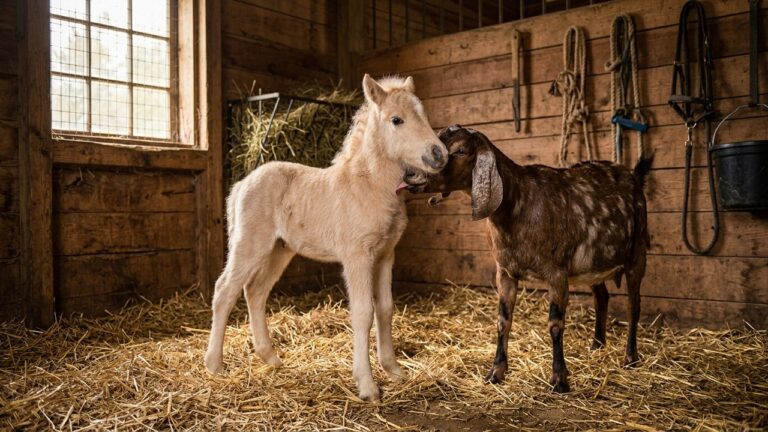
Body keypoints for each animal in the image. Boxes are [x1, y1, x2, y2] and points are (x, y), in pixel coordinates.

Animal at [204, 75, 448, 401]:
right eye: (397, 120)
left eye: (423, 114)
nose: (438, 154)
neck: (368, 185)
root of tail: (241, 184)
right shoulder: (358, 256)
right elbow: (363, 312)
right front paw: (367, 385)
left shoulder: (386, 254)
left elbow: (385, 308)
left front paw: (394, 370)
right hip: (250, 245)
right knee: (225, 290)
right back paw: (214, 365)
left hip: (279, 250)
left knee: (255, 291)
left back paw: (270, 358)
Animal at [404, 125, 652, 393]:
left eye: (460, 150)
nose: (410, 174)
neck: (518, 205)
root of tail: (634, 175)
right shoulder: (505, 272)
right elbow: (503, 320)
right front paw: (496, 373)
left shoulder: (557, 273)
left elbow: (555, 324)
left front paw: (559, 380)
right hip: (593, 263)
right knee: (602, 297)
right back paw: (596, 345)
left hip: (637, 252)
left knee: (634, 304)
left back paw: (630, 358)